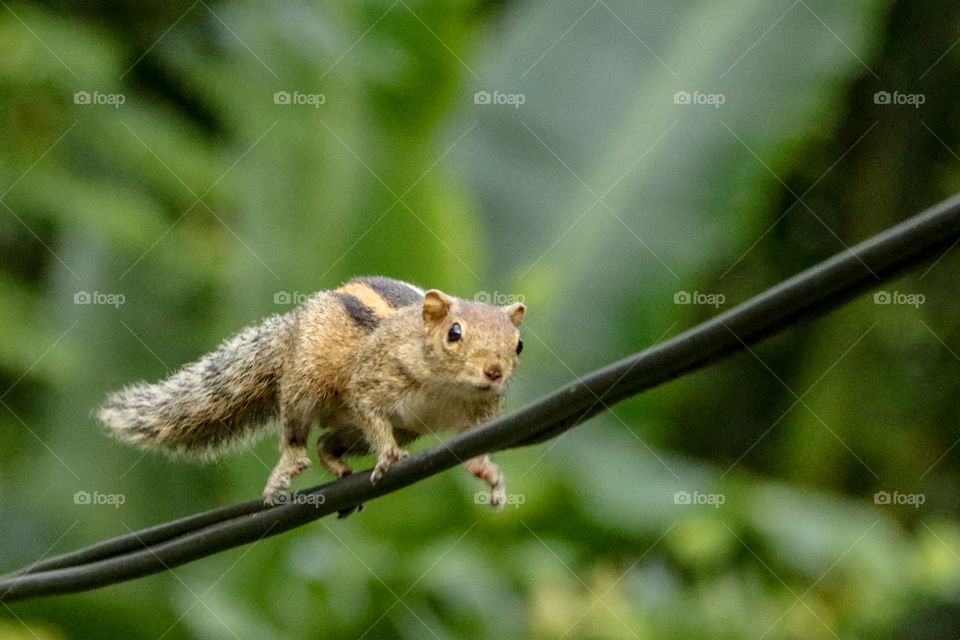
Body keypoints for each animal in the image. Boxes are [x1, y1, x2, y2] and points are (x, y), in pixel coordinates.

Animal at [97, 276, 525, 509]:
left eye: (518, 345)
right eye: (454, 333)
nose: (494, 372)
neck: (446, 387)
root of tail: (294, 327)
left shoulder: (478, 414)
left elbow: (475, 445)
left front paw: (486, 471)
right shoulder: (373, 378)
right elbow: (368, 406)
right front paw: (388, 456)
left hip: (391, 429)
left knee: (328, 442)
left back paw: (335, 463)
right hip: (304, 385)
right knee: (297, 433)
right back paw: (288, 466)